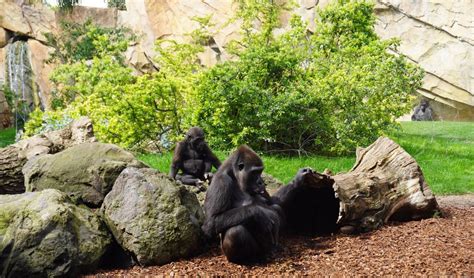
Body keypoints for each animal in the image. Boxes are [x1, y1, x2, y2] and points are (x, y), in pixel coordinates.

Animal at [202, 144, 338, 264]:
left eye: (260, 171)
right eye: (254, 172)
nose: (261, 182)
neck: (235, 176)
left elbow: (273, 201)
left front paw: (299, 178)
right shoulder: (221, 181)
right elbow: (211, 223)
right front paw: (260, 213)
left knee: (276, 207)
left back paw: (275, 249)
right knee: (235, 231)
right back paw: (249, 260)